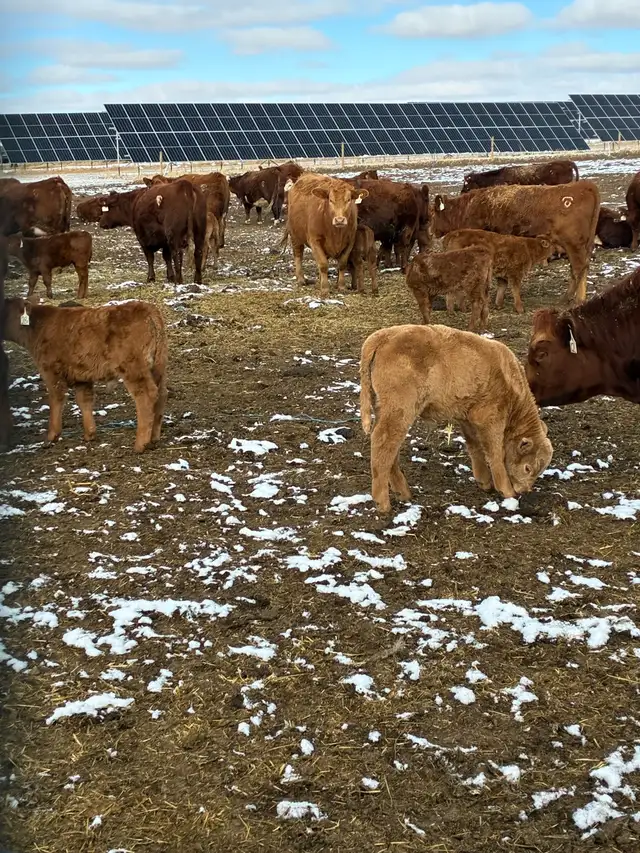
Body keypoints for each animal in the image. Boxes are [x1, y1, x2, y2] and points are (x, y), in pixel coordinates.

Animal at [1, 297, 168, 451]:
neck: (38, 327)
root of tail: (147, 308)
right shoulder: (81, 376)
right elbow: (84, 400)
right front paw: (90, 434)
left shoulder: (51, 371)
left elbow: (56, 400)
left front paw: (51, 436)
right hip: (157, 366)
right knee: (161, 395)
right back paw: (154, 438)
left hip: (132, 368)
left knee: (146, 395)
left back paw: (140, 444)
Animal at [360, 324, 553, 513]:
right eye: (527, 468)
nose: (524, 491)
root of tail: (383, 335)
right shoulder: (491, 419)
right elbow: (496, 453)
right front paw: (506, 491)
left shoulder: (468, 417)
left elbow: (475, 447)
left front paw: (484, 482)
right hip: (399, 410)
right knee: (383, 443)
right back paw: (383, 505)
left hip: (385, 410)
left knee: (390, 447)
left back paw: (403, 493)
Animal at [432, 181, 600, 304]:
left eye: (432, 213)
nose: (432, 231)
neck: (469, 208)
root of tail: (584, 185)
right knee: (581, 268)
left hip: (573, 245)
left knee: (578, 269)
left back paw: (571, 298)